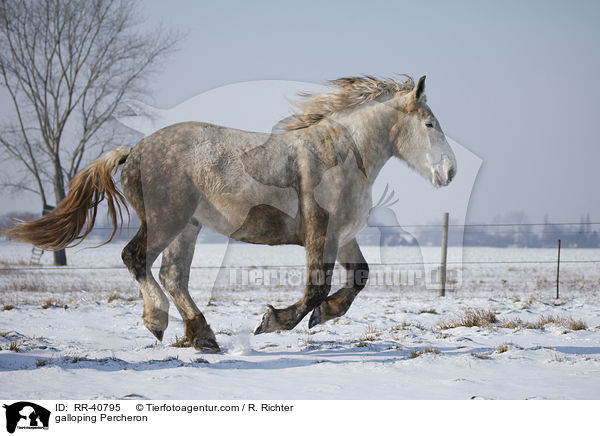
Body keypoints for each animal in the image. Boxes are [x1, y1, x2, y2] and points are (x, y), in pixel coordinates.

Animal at [3, 74, 454, 350]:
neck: (340, 153)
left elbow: (358, 277)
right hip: (166, 221)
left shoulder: (344, 236)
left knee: (173, 275)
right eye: (430, 124)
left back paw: (203, 336)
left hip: (188, 227)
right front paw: (272, 321)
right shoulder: (319, 232)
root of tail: (134, 151)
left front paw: (322, 317)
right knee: (136, 258)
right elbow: (315, 288)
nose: (450, 172)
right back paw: (158, 321)